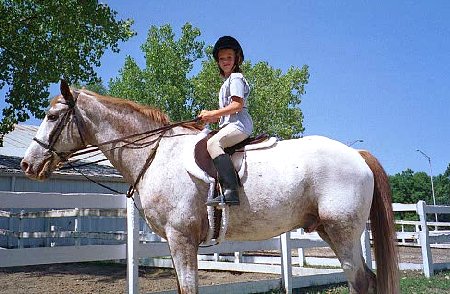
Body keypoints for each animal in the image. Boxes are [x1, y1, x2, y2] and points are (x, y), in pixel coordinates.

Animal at [21, 81, 400, 294]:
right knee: (366, 280)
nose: (27, 165)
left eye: (52, 117)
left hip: (343, 231)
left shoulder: (181, 237)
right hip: (329, 231)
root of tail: (356, 154)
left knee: (361, 281)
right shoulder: (176, 240)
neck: (156, 153)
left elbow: (189, 289)